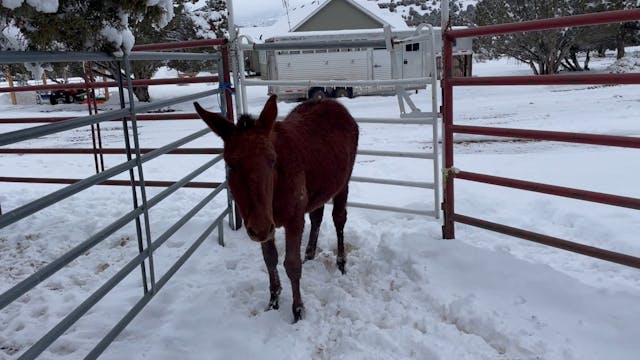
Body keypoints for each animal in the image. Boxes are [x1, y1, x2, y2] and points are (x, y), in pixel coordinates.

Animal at [192, 95, 358, 320]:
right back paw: (310, 253)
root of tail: (337, 105)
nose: (260, 227)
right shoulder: (264, 223)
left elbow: (292, 264)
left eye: (272, 160)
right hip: (318, 191)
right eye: (230, 164)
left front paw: (298, 310)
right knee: (317, 216)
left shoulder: (294, 218)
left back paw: (341, 262)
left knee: (339, 219)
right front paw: (273, 300)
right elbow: (270, 259)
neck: (274, 197)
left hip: (343, 182)